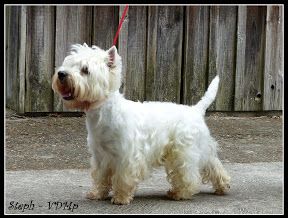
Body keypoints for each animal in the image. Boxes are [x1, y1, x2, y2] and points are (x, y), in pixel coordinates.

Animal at [51, 43, 231, 204]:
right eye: (69, 64)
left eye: (85, 70)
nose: (61, 74)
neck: (103, 113)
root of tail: (195, 109)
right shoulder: (100, 155)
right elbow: (100, 176)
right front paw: (97, 194)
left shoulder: (127, 156)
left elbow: (123, 177)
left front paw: (121, 198)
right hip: (201, 148)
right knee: (213, 163)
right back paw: (223, 186)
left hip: (184, 151)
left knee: (187, 174)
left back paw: (179, 193)